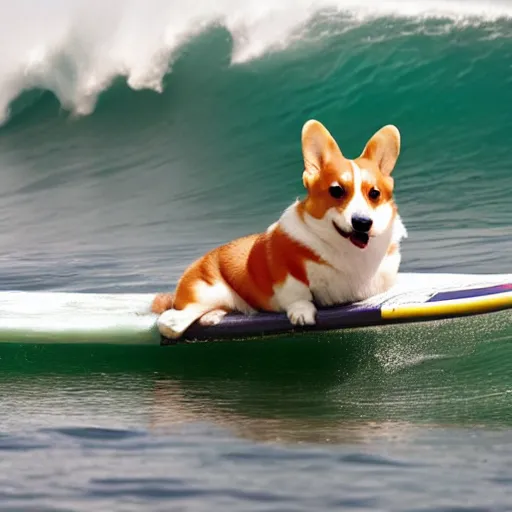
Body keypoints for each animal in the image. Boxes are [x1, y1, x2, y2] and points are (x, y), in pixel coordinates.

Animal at [150, 118, 406, 338]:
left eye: (374, 193)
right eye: (336, 191)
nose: (362, 222)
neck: (348, 251)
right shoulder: (283, 267)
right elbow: (297, 292)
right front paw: (302, 311)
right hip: (209, 291)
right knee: (171, 322)